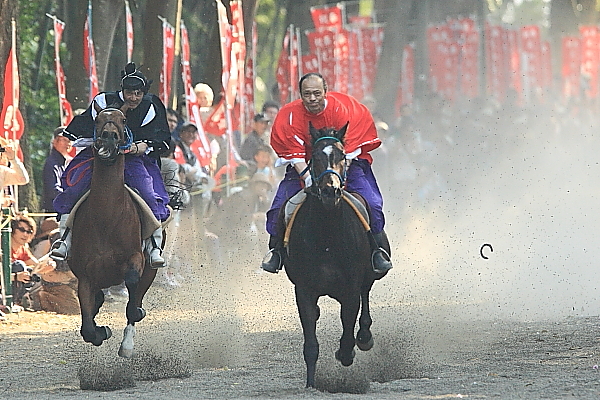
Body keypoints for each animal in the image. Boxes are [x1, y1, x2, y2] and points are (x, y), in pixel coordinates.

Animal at [68, 105, 157, 356]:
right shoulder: (86, 276)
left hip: (151, 269)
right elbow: (87, 327)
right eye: (97, 120)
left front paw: (135, 312)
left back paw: (127, 343)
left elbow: (132, 283)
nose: (109, 137)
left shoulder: (136, 258)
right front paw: (101, 331)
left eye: (123, 119)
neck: (106, 218)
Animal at [278, 121, 386, 388]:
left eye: (341, 156)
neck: (327, 235)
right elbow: (310, 343)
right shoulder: (304, 290)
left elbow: (348, 330)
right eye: (315, 157)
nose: (330, 191)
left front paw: (346, 352)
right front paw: (311, 384)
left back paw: (364, 336)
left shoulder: (350, 289)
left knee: (366, 295)